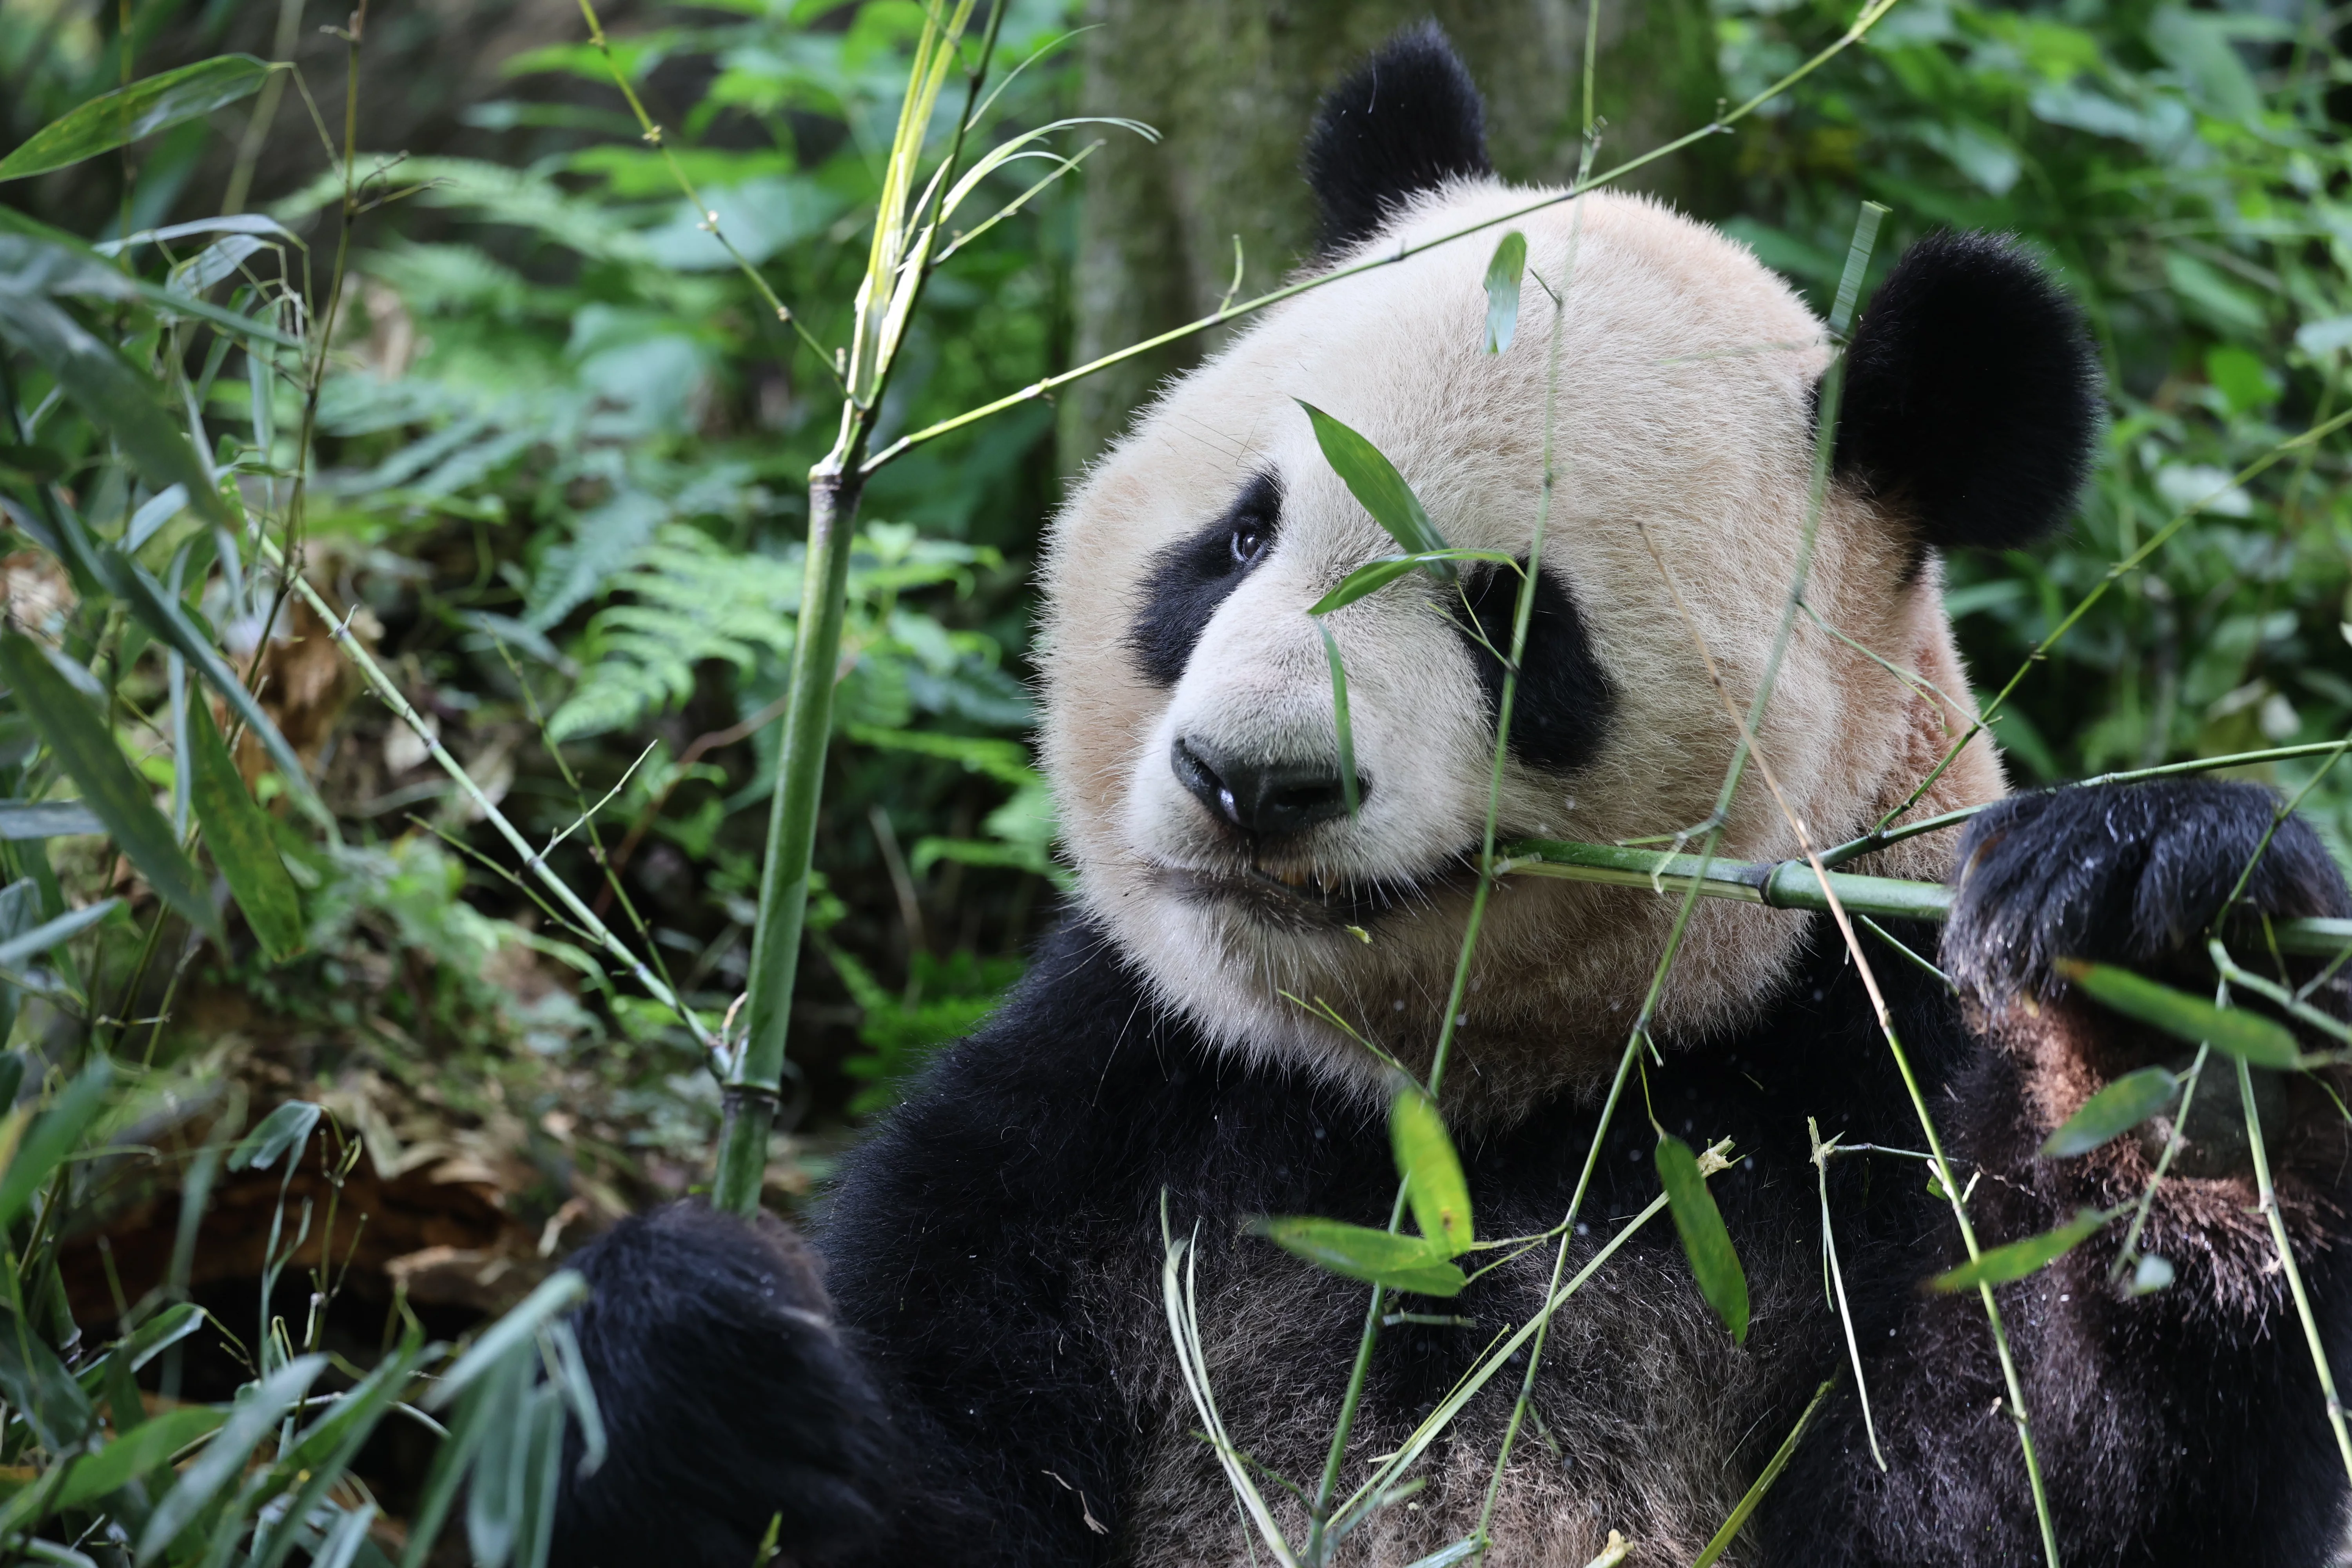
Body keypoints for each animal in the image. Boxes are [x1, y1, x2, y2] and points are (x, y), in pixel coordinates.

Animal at [553, 25, 2352, 1568]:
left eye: (1509, 619)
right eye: (1236, 541)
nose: (1250, 780)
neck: (1445, 1111)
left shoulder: (1843, 1096)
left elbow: (2040, 1472)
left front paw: (2165, 966)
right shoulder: (1110, 1110)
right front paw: (691, 1363)